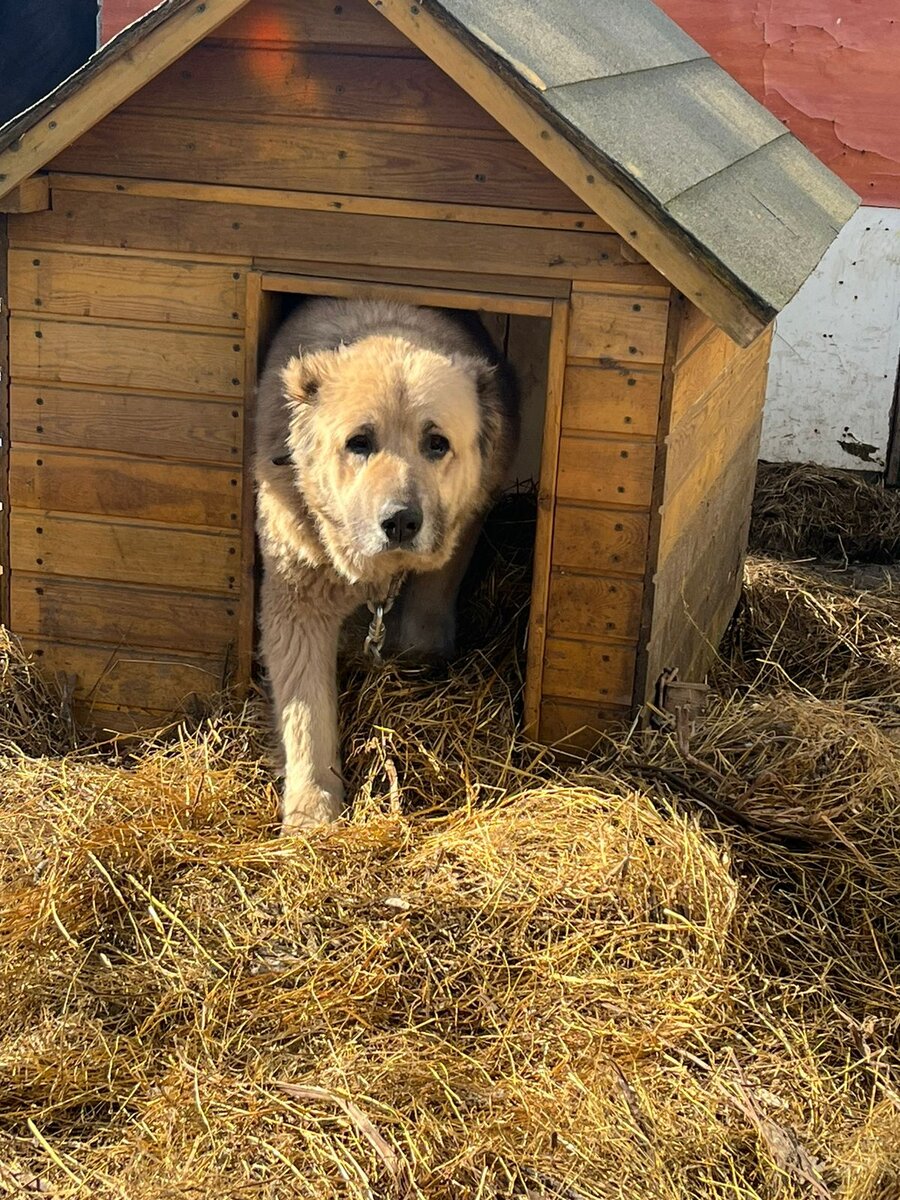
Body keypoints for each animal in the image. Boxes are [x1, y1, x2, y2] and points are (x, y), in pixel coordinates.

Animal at [254, 295, 520, 830]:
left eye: (436, 442)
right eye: (360, 441)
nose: (400, 521)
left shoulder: (464, 524)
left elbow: (427, 608)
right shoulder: (297, 589)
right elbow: (305, 707)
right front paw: (312, 808)